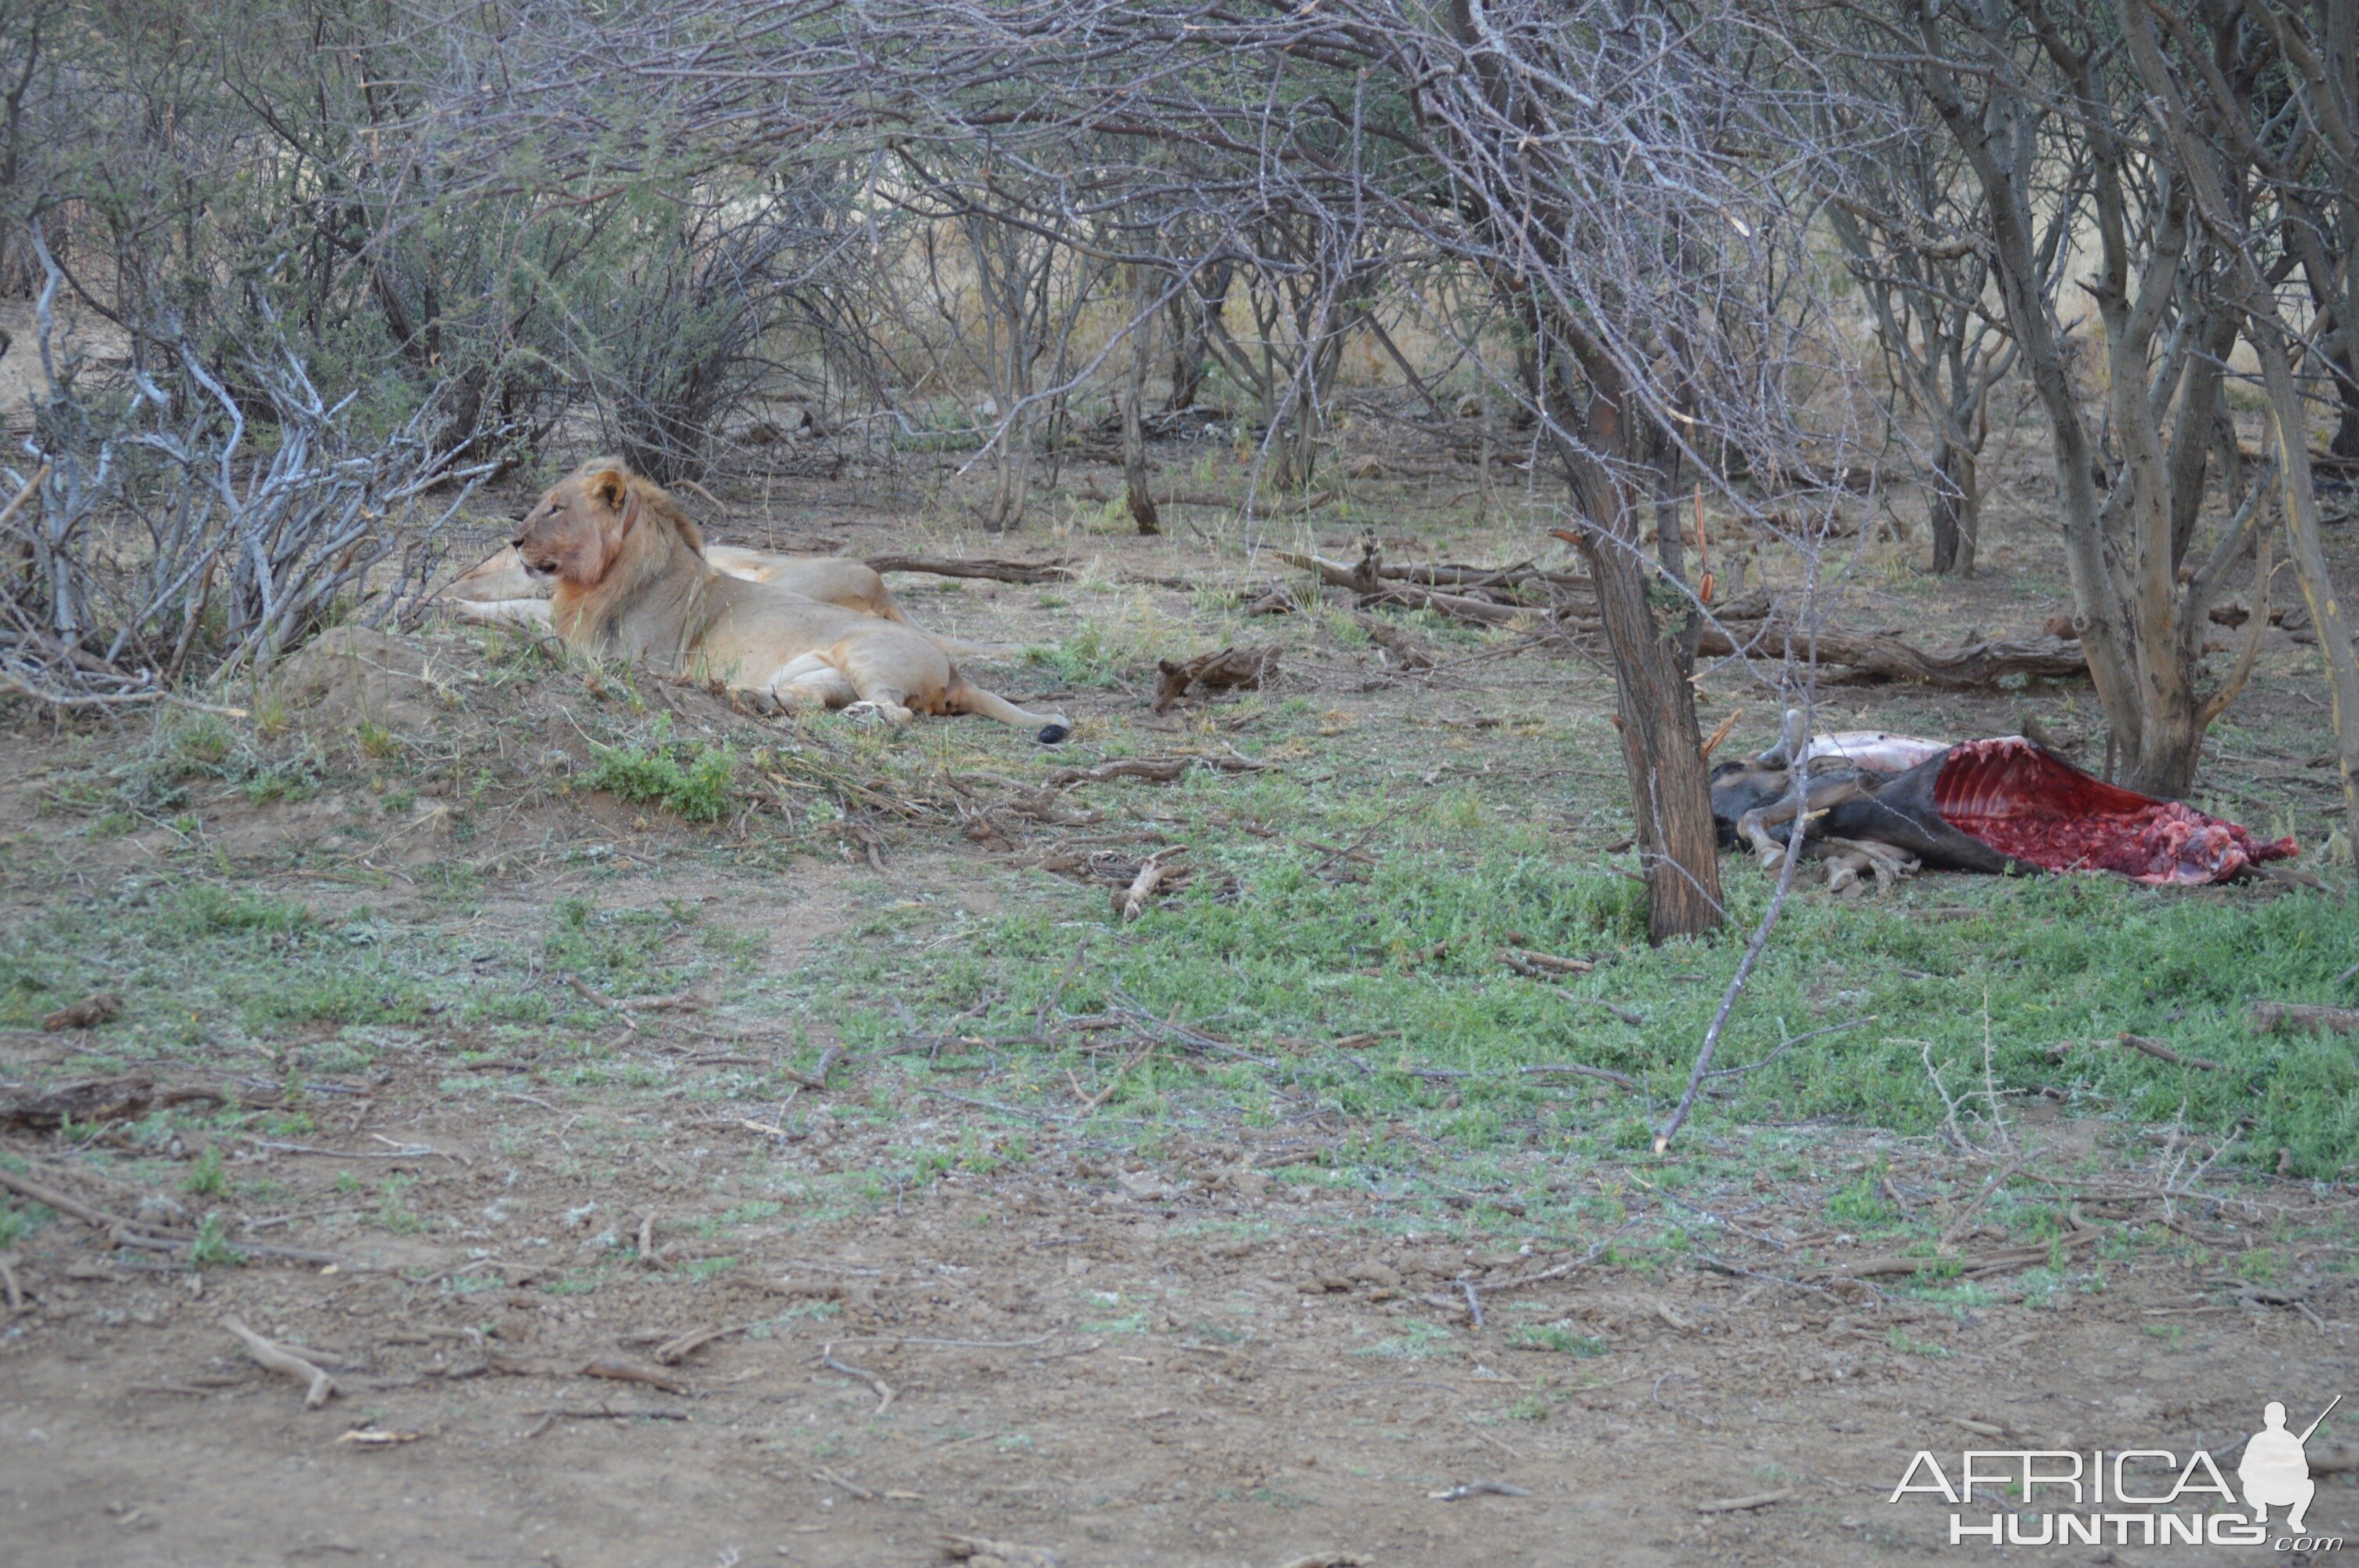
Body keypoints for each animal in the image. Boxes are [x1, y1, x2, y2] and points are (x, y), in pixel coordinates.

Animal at [516, 455, 1080, 745]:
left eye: (556, 509)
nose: (514, 540)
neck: (593, 580)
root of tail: (956, 670)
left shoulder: (620, 657)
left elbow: (528, 631)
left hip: (864, 653)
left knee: (898, 713)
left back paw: (859, 718)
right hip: (815, 673)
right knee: (809, 703)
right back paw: (748, 698)